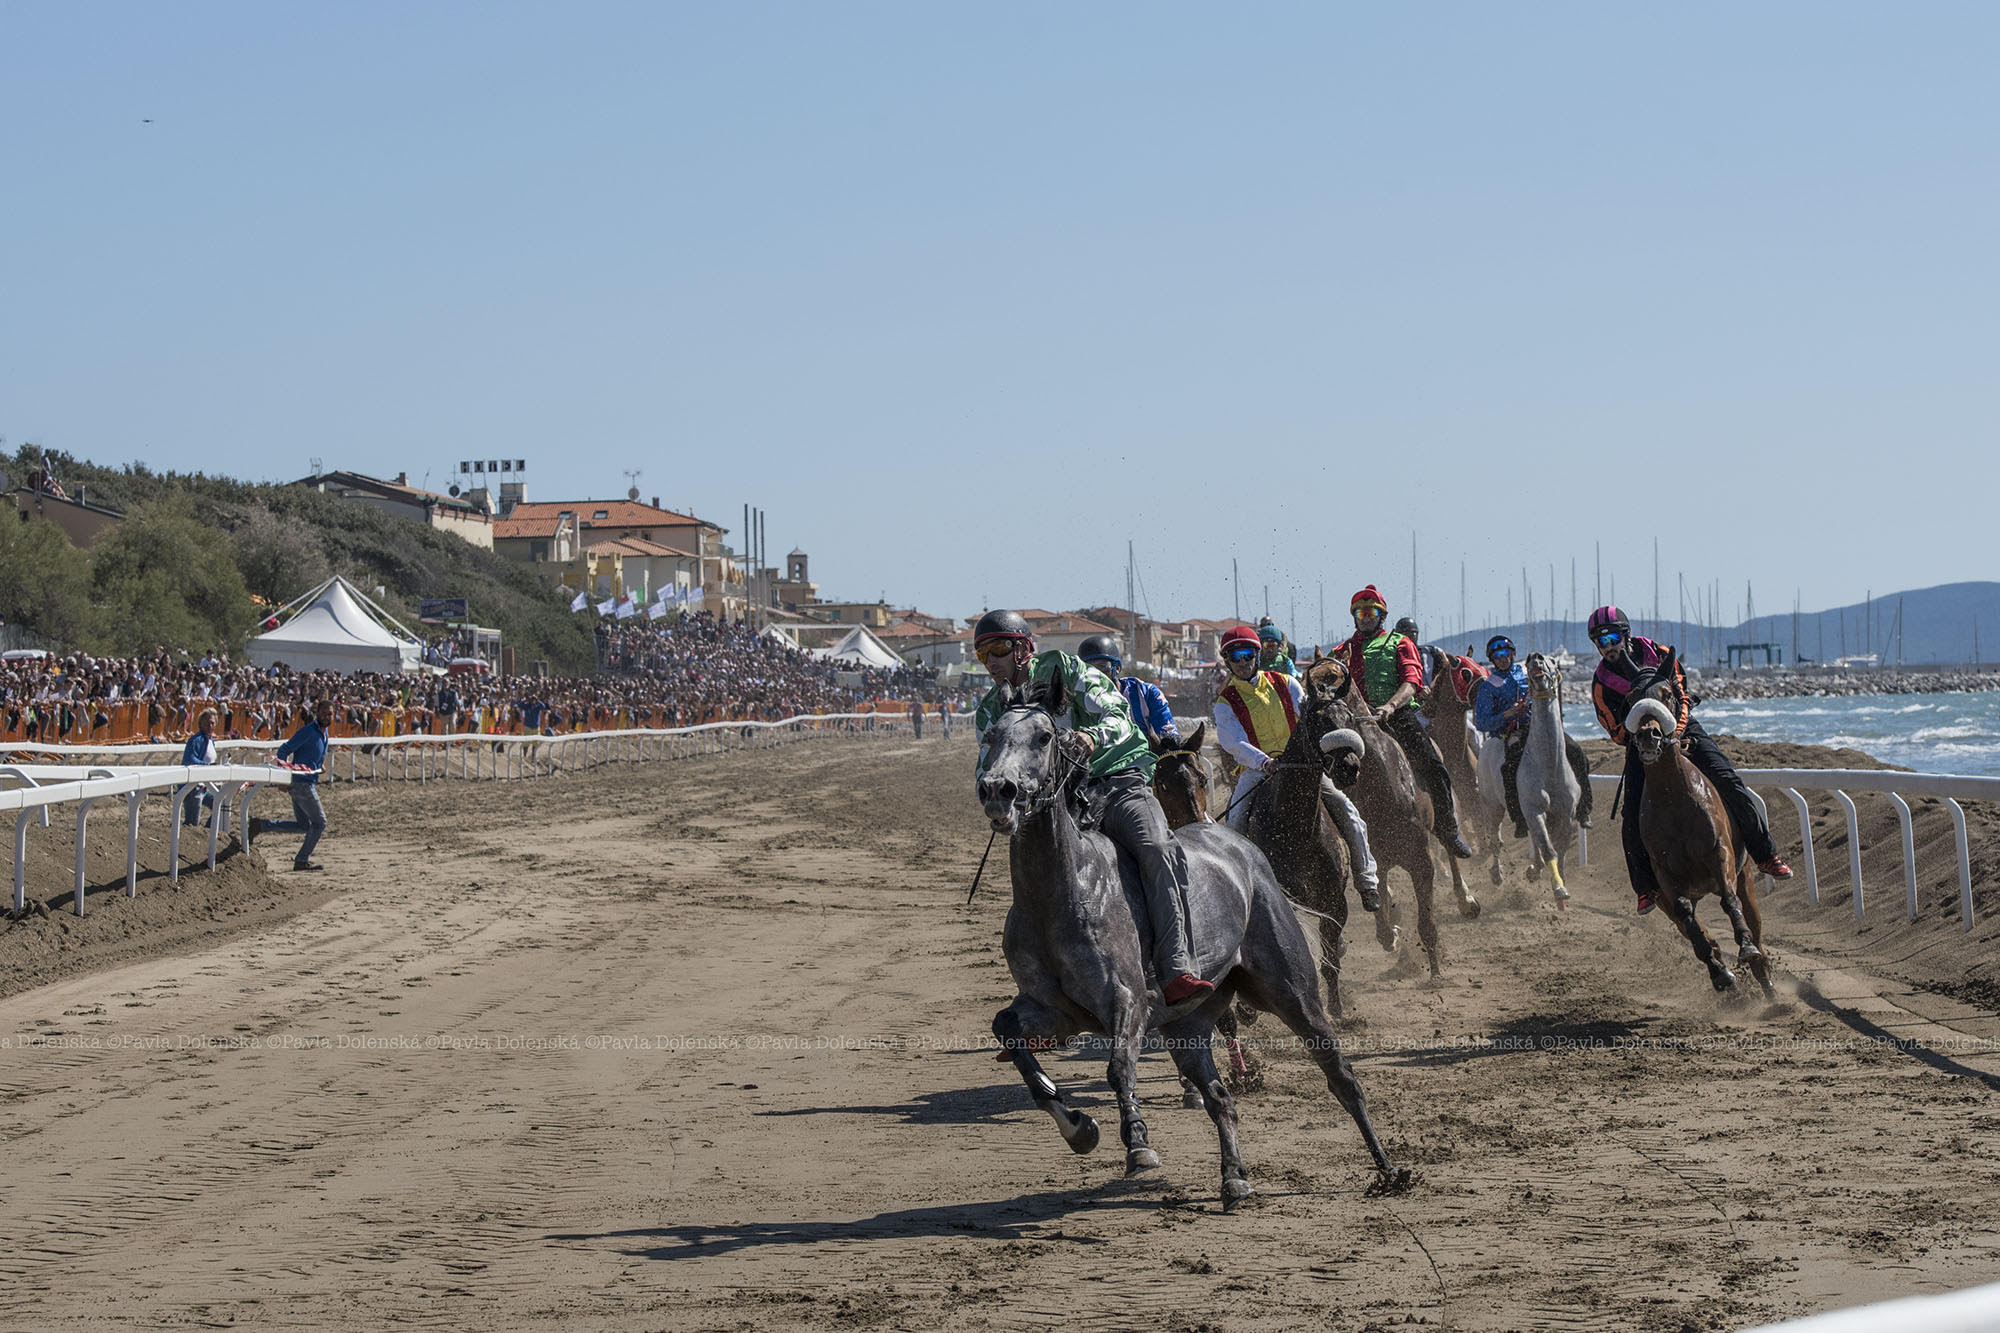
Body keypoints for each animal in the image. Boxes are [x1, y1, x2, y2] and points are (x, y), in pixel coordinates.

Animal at [976, 668, 1400, 1200]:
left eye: (1044, 736)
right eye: (991, 736)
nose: (998, 789)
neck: (1063, 891)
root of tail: (1238, 848)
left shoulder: (1128, 1001)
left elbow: (1119, 1067)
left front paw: (1138, 1143)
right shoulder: (1056, 1012)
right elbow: (1008, 1032)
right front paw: (1078, 1127)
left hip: (1291, 990)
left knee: (1340, 1075)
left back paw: (1388, 1169)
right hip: (1188, 1026)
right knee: (1219, 1095)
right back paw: (1234, 1176)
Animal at [1472, 652, 1576, 904]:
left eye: (1551, 660)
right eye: (1529, 660)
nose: (1535, 657)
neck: (1549, 765)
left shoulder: (1565, 814)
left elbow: (1560, 850)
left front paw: (1559, 880)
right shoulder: (1533, 808)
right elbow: (1549, 848)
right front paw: (1559, 889)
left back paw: (1533, 869)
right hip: (1493, 806)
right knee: (1495, 840)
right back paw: (1497, 874)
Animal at [1632, 652, 1776, 996]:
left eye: (1666, 695)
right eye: (1631, 698)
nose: (1648, 734)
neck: (1673, 799)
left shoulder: (1718, 851)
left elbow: (1727, 898)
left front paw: (1745, 947)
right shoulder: (1665, 876)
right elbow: (1688, 917)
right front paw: (1720, 972)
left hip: (1746, 878)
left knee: (1754, 926)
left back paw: (1765, 978)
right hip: (1663, 902)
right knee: (1693, 928)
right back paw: (1721, 969)